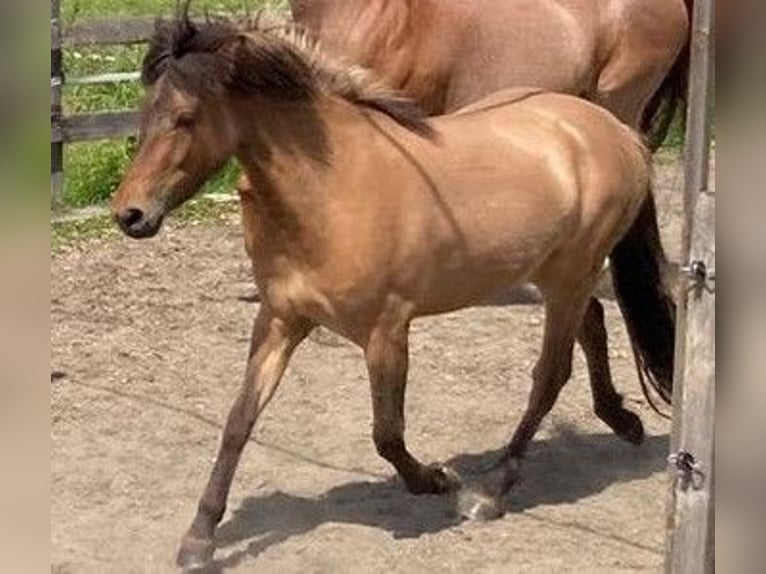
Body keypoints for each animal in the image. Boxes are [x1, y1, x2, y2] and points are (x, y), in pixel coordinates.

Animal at [111, 15, 675, 569]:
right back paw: (622, 421)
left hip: (569, 275)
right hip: (556, 276)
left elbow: (387, 432)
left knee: (551, 374)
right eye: (145, 111)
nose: (129, 215)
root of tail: (615, 132)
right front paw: (200, 537)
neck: (333, 189)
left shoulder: (386, 331)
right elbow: (238, 421)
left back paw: (490, 489)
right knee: (594, 325)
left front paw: (434, 479)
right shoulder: (279, 319)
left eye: (185, 118)